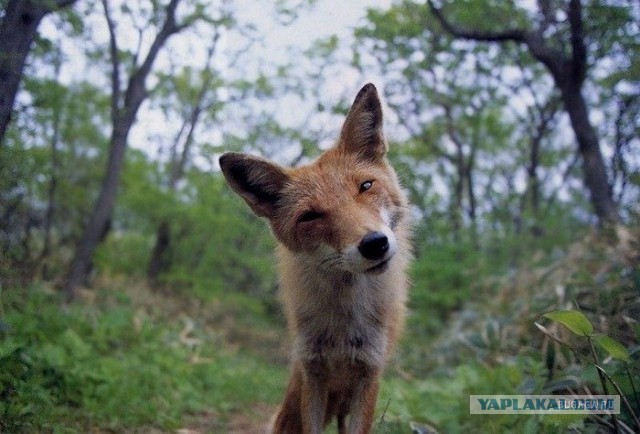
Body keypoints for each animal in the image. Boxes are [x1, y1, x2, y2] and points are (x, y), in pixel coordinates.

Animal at [219, 83, 410, 432]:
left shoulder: (368, 374)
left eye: (365, 186)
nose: (375, 244)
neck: (344, 326)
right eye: (310, 216)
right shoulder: (314, 373)